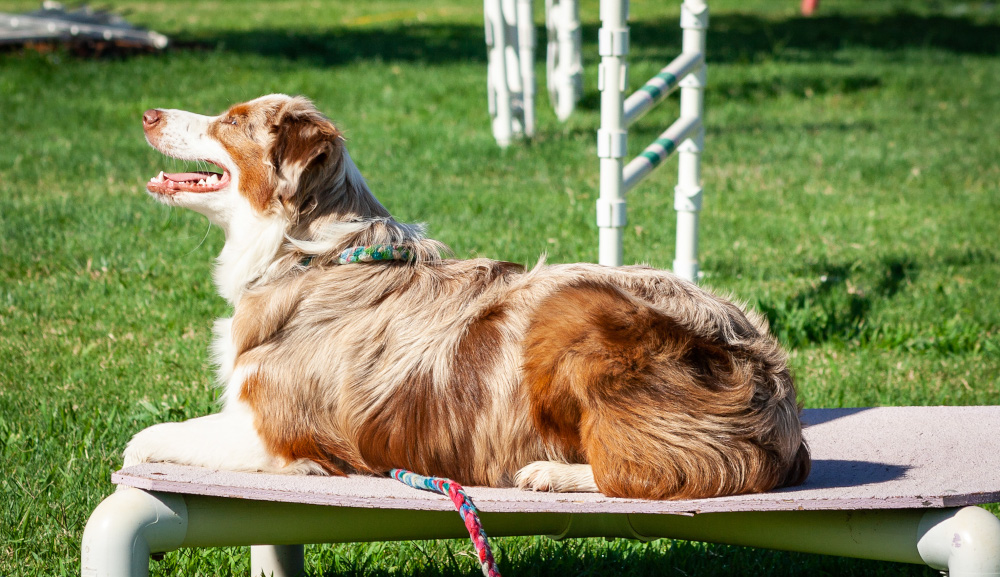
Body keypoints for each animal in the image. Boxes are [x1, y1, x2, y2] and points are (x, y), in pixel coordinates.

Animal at [127, 94, 812, 500]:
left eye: (229, 121)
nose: (147, 114)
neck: (309, 252)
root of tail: (775, 389)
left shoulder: (277, 434)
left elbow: (154, 434)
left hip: (577, 310)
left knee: (651, 472)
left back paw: (551, 473)